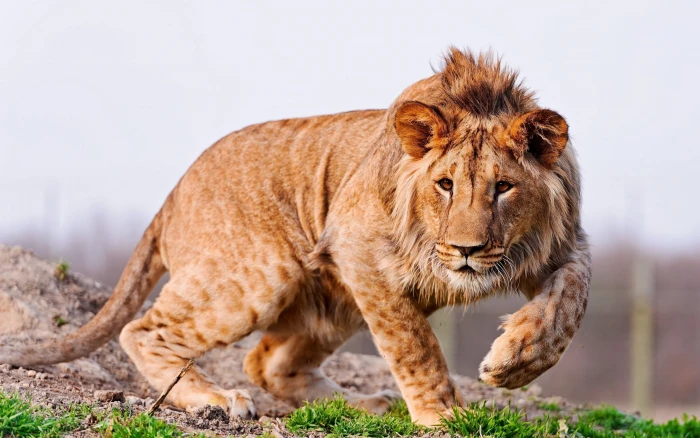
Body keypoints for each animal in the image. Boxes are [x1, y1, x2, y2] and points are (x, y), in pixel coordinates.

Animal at [0, 48, 590, 426]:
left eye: (504, 188)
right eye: (445, 185)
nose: (468, 251)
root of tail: (174, 192)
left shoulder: (563, 245)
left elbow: (570, 302)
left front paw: (514, 361)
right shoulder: (358, 248)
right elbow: (415, 346)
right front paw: (442, 416)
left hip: (333, 303)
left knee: (266, 363)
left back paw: (364, 405)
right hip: (264, 274)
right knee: (144, 330)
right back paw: (216, 400)